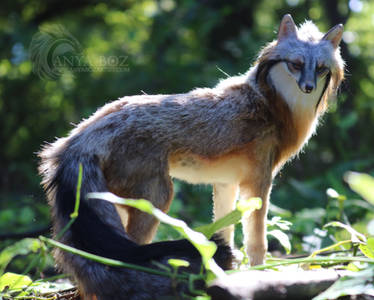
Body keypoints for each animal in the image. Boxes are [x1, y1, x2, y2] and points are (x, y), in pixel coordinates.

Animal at [38, 14, 344, 300]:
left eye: (319, 69)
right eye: (295, 64)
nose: (307, 87)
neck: (272, 103)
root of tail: (81, 135)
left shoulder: (226, 184)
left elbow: (225, 232)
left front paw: (227, 274)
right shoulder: (259, 184)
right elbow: (257, 242)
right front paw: (260, 272)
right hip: (158, 199)